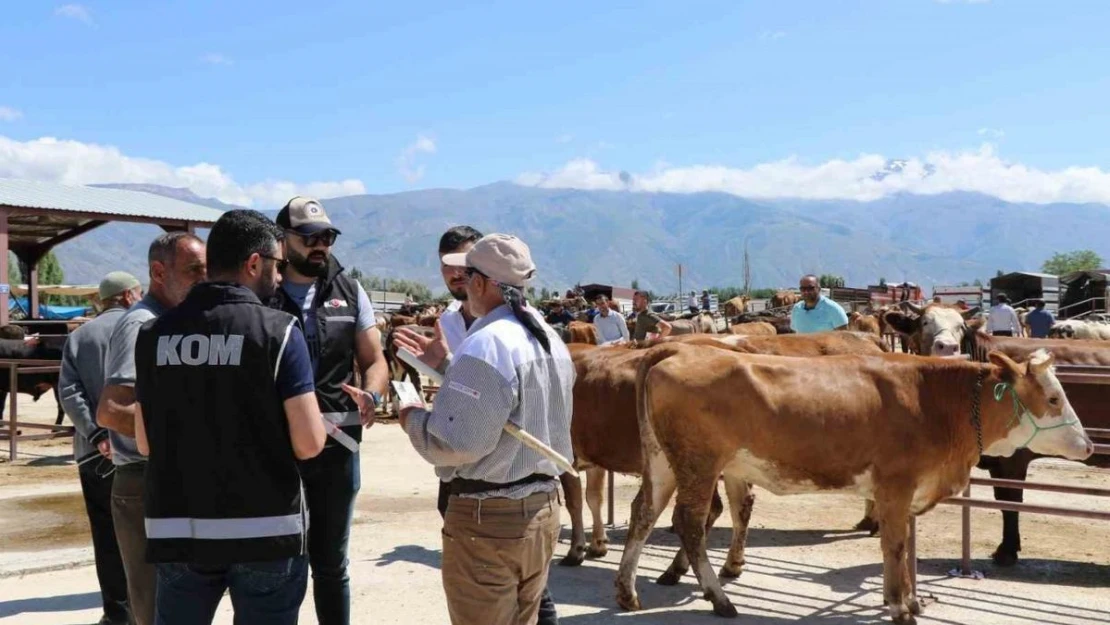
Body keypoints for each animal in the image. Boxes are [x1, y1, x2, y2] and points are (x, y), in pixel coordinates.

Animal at [617, 344, 1092, 621]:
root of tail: (675, 353)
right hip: (698, 464)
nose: (1088, 445)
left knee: (644, 513)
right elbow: (895, 547)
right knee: (690, 524)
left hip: (663, 461)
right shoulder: (895, 488)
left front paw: (909, 600)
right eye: (1053, 398)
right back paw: (719, 599)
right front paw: (901, 606)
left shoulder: (905, 492)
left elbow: (903, 547)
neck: (935, 402)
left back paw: (627, 593)